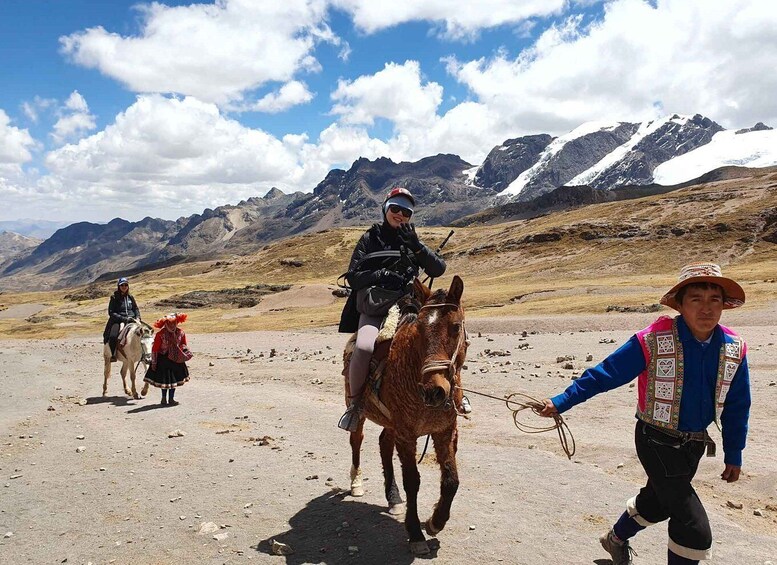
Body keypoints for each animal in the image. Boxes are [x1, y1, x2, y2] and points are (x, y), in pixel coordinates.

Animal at [346, 274, 466, 556]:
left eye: (455, 327)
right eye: (418, 330)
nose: (435, 391)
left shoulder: (444, 431)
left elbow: (451, 480)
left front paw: (435, 522)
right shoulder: (407, 435)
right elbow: (413, 481)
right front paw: (415, 533)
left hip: (391, 424)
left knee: (383, 444)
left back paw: (394, 498)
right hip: (360, 411)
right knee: (357, 441)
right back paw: (356, 483)